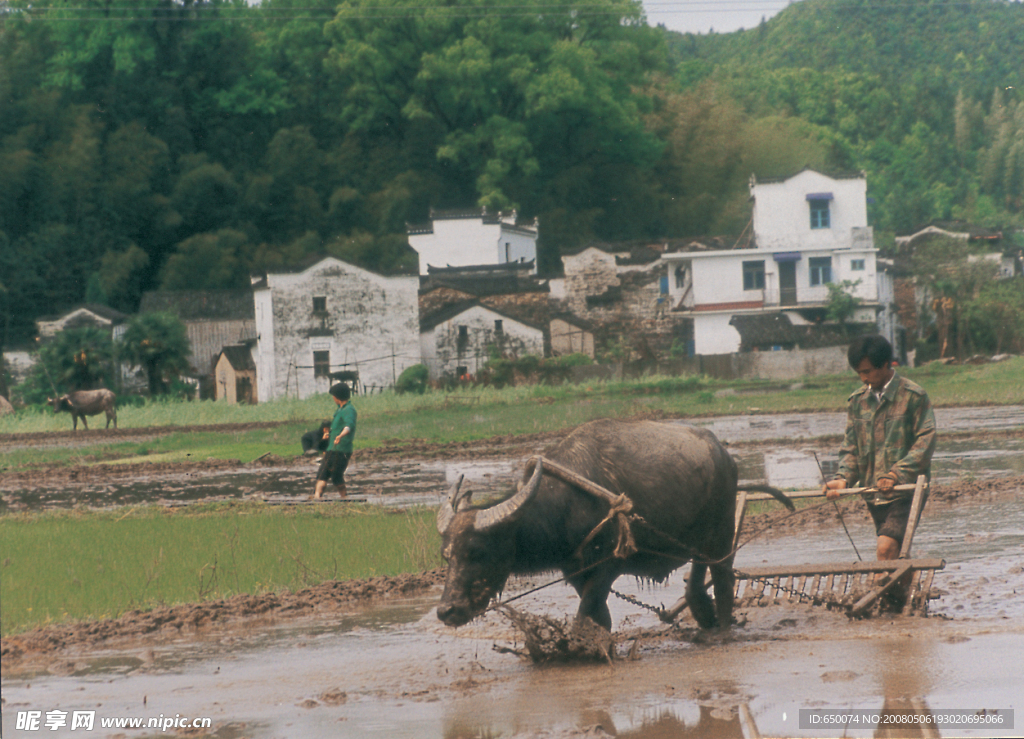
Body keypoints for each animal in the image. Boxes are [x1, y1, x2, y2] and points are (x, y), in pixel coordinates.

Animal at [436, 417, 794, 630]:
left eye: (477, 552)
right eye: (447, 555)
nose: (446, 611)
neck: (565, 504)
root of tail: (724, 455)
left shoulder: (608, 565)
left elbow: (585, 614)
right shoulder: (576, 571)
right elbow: (598, 617)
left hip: (720, 533)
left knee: (722, 578)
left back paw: (722, 625)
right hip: (696, 539)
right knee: (698, 575)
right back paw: (703, 615)